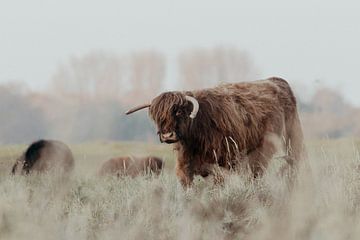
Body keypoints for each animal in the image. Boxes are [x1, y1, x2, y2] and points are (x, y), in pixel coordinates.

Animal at [126, 77, 304, 186]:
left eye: (178, 112)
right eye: (157, 117)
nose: (167, 135)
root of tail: (276, 81)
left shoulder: (223, 163)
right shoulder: (185, 166)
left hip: (282, 139)